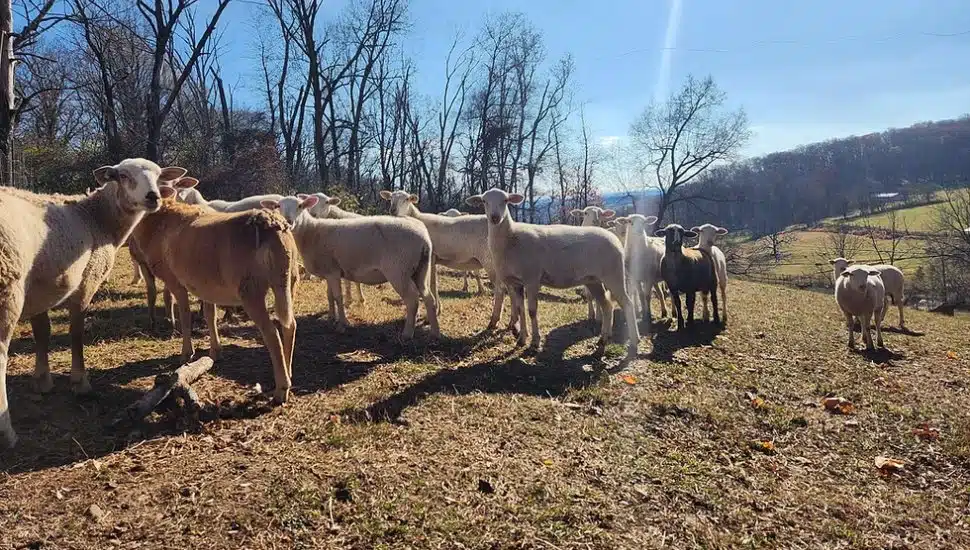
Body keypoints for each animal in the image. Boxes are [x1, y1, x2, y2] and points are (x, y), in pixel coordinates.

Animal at [0, 158, 180, 448]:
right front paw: (80, 382)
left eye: (158, 175)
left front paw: (43, 380)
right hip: (9, 289)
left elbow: (42, 333)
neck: (97, 218)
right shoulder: (87, 282)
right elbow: (76, 334)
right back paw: (8, 434)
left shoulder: (40, 290)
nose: (153, 197)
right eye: (123, 175)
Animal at [130, 178, 299, 404]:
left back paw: (281, 390)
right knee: (289, 325)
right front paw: (215, 351)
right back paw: (288, 373)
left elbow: (185, 316)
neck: (160, 222)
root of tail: (270, 223)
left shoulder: (176, 282)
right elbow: (210, 316)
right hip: (288, 280)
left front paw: (186, 354)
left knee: (272, 333)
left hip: (251, 290)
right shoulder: (205, 286)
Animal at [264, 195, 439, 339]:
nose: (288, 222)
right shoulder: (329, 271)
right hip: (420, 270)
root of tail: (424, 240)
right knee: (428, 297)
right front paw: (331, 317)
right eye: (278, 206)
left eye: (300, 206)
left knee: (412, 299)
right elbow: (329, 295)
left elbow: (338, 297)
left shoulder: (333, 272)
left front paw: (343, 324)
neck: (312, 232)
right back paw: (434, 332)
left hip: (399, 270)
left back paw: (407, 334)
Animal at [380, 189, 511, 331]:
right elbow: (434, 283)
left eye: (407, 199)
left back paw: (494, 321)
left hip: (489, 260)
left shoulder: (431, 257)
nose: (393, 210)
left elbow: (432, 284)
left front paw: (432, 314)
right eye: (390, 199)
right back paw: (510, 324)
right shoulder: (434, 259)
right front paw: (437, 310)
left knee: (500, 290)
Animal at [465, 188, 639, 357]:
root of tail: (614, 239)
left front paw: (535, 342)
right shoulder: (516, 283)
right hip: (593, 279)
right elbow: (521, 310)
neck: (511, 239)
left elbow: (532, 311)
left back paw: (634, 340)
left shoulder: (532, 278)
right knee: (607, 306)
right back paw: (603, 339)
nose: (495, 218)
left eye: (506, 200)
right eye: (484, 201)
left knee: (627, 303)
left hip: (613, 274)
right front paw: (522, 339)